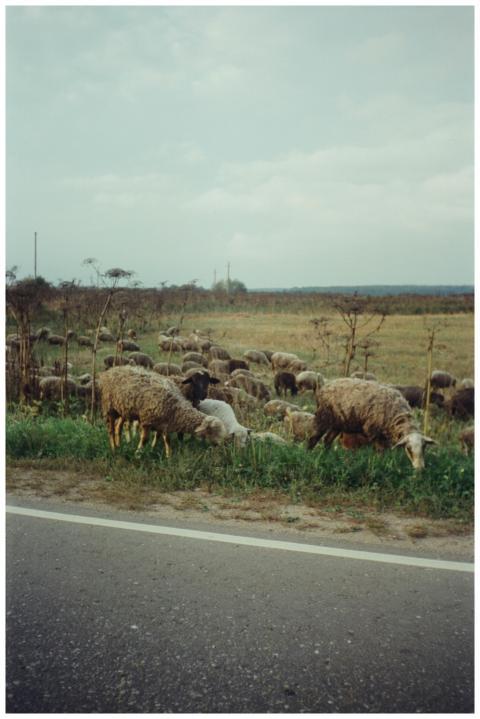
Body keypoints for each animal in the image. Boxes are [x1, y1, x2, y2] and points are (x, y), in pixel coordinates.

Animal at [98, 366, 227, 454]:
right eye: (212, 431)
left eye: (208, 380)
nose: (220, 446)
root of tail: (112, 370)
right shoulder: (148, 420)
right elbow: (146, 439)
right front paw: (138, 453)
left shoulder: (164, 423)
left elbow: (166, 439)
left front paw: (166, 455)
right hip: (109, 407)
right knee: (110, 429)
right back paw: (114, 449)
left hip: (123, 410)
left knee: (118, 427)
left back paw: (119, 445)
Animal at [307, 378, 436, 470]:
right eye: (408, 448)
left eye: (424, 447)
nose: (420, 469)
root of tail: (323, 388)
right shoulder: (374, 431)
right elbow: (380, 452)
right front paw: (379, 465)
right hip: (323, 416)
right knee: (314, 437)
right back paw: (308, 454)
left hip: (338, 423)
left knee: (327, 440)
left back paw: (327, 456)